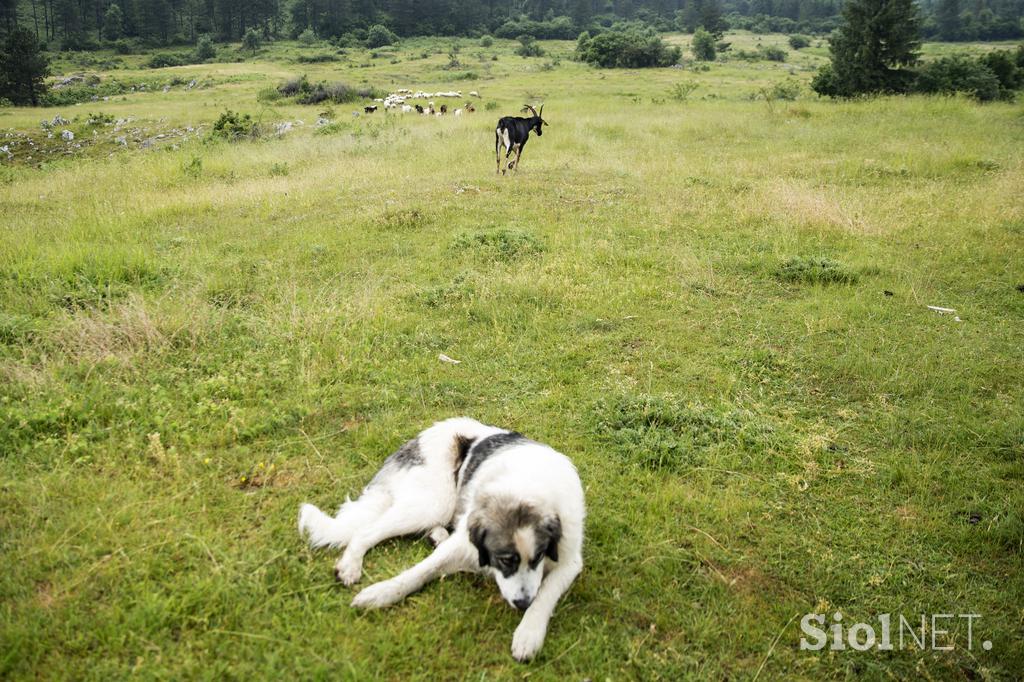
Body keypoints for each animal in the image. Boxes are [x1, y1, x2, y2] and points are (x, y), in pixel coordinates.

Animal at [296, 413, 585, 659]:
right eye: (504, 560)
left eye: (538, 557)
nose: (523, 603)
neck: (525, 485)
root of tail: (418, 439)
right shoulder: (464, 543)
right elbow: (418, 572)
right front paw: (381, 592)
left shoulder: (569, 560)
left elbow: (546, 593)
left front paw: (528, 633)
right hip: (434, 502)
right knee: (366, 531)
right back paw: (351, 565)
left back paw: (436, 535)